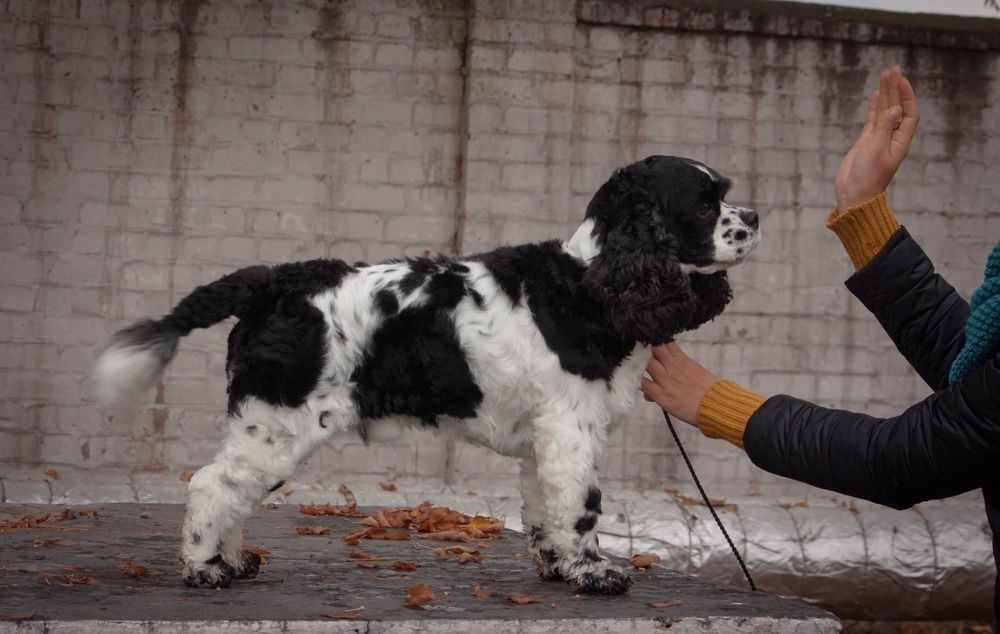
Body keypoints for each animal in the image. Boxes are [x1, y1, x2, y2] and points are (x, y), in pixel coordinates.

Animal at [97, 153, 760, 592]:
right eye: (706, 203)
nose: (754, 217)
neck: (590, 282)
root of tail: (270, 281)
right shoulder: (572, 429)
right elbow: (582, 504)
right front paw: (594, 573)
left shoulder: (543, 438)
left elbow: (545, 504)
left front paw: (555, 564)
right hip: (280, 422)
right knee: (214, 484)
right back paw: (206, 568)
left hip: (266, 426)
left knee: (232, 489)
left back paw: (233, 560)